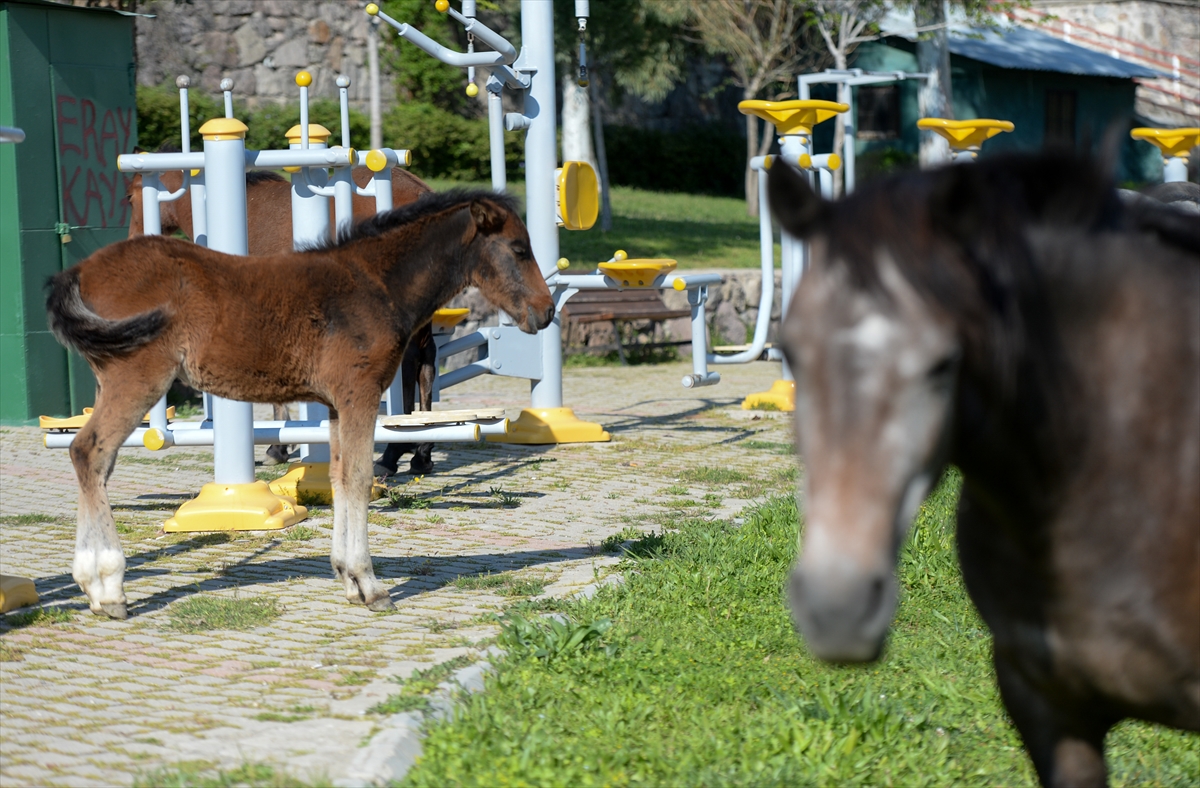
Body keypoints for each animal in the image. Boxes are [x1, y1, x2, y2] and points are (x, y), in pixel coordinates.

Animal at [45, 189, 552, 614]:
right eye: (518, 249)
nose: (545, 311)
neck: (375, 284)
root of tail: (78, 271)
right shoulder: (360, 393)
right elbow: (359, 477)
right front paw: (370, 585)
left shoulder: (336, 404)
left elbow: (340, 477)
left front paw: (348, 577)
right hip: (138, 377)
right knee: (88, 452)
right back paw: (108, 588)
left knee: (91, 459)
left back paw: (93, 585)